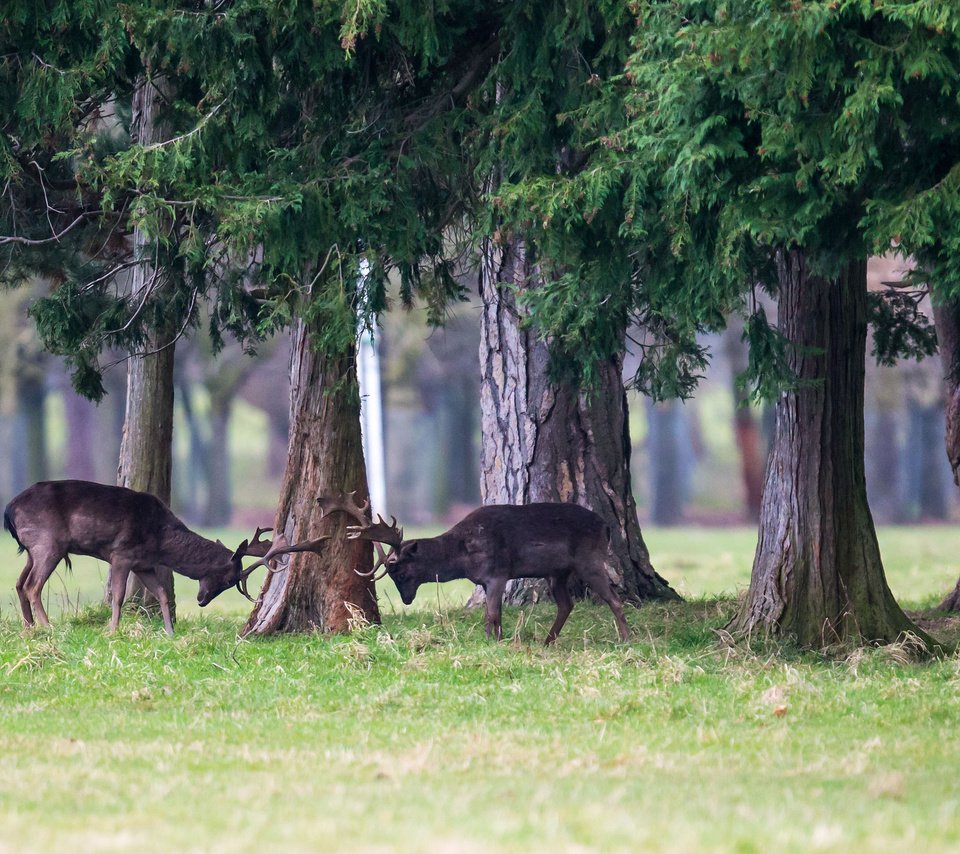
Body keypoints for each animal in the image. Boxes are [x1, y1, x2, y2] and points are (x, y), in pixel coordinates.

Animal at [2, 482, 292, 636]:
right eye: (230, 579)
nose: (201, 601)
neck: (161, 540)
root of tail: (8, 510)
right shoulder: (121, 554)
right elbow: (119, 595)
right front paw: (112, 630)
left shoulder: (144, 564)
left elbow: (162, 593)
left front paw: (169, 631)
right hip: (48, 543)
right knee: (33, 586)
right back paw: (48, 627)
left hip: (33, 549)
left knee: (19, 583)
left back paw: (29, 628)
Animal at [314, 492, 632, 644]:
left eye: (400, 571)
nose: (406, 599)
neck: (462, 556)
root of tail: (606, 526)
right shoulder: (484, 579)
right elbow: (492, 614)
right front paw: (494, 640)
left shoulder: (497, 572)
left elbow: (492, 613)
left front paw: (496, 642)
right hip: (558, 572)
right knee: (566, 604)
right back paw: (547, 641)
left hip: (589, 559)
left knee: (614, 599)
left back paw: (625, 639)